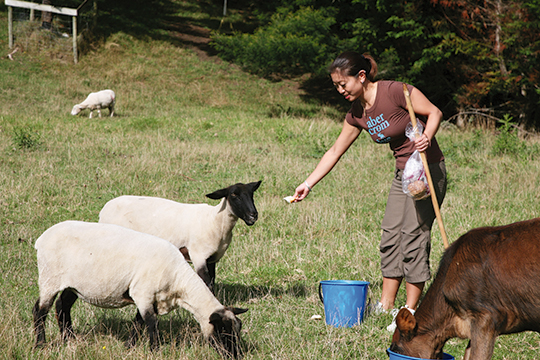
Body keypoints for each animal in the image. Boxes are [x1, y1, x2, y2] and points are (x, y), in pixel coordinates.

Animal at [31, 219, 247, 358]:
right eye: (223, 331)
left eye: (238, 329)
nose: (235, 355)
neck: (178, 283)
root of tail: (42, 238)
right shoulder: (143, 293)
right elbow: (151, 324)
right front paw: (155, 350)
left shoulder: (148, 297)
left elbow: (138, 322)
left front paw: (129, 346)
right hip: (49, 278)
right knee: (40, 310)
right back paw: (40, 344)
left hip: (73, 283)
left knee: (62, 306)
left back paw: (69, 339)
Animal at [99, 180, 264, 292]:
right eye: (234, 195)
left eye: (251, 194)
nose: (253, 215)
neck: (214, 220)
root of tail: (104, 209)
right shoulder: (198, 255)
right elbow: (205, 282)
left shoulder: (212, 258)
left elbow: (212, 282)